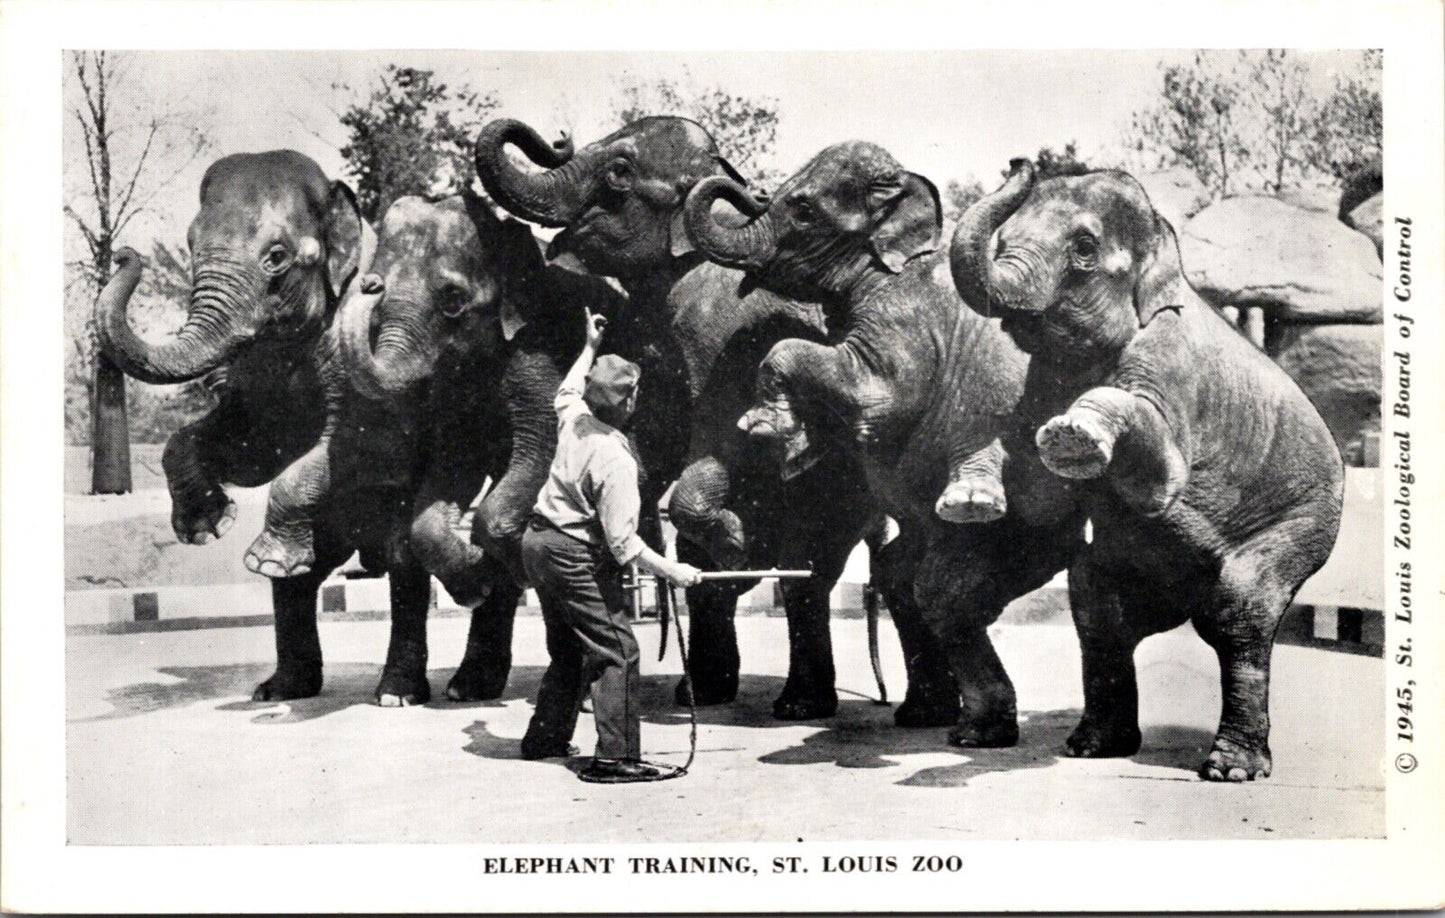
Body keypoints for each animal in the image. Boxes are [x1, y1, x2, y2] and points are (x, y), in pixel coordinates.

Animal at [476, 116, 878, 717]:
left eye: (618, 173)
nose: (559, 137)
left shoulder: (724, 335)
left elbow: (728, 440)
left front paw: (735, 543)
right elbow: (647, 450)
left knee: (812, 567)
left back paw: (801, 705)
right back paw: (708, 693)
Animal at [684, 143, 1086, 745]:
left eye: (803, 209)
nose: (1020, 162)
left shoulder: (904, 325)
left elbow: (871, 394)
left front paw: (766, 428)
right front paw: (793, 445)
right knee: (905, 573)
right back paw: (927, 716)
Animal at [953, 161, 1346, 780]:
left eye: (1084, 248)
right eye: (1005, 236)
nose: (1021, 163)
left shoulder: (1171, 364)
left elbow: (1161, 482)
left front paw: (1073, 434)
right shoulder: (1040, 377)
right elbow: (1037, 491)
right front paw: (970, 501)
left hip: (1305, 523)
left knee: (1242, 609)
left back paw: (1230, 770)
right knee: (1096, 604)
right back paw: (1094, 746)